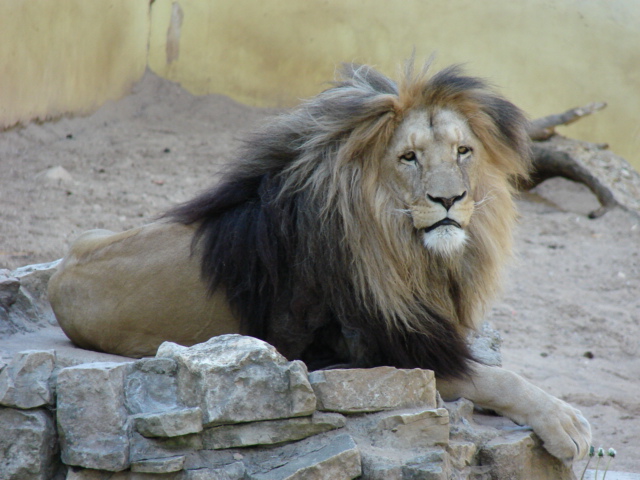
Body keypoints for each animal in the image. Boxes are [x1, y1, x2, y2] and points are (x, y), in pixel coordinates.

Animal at [48, 61, 591, 462]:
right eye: (409, 157)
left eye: (463, 151)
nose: (449, 200)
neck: (412, 254)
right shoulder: (383, 353)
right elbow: (500, 378)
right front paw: (567, 423)